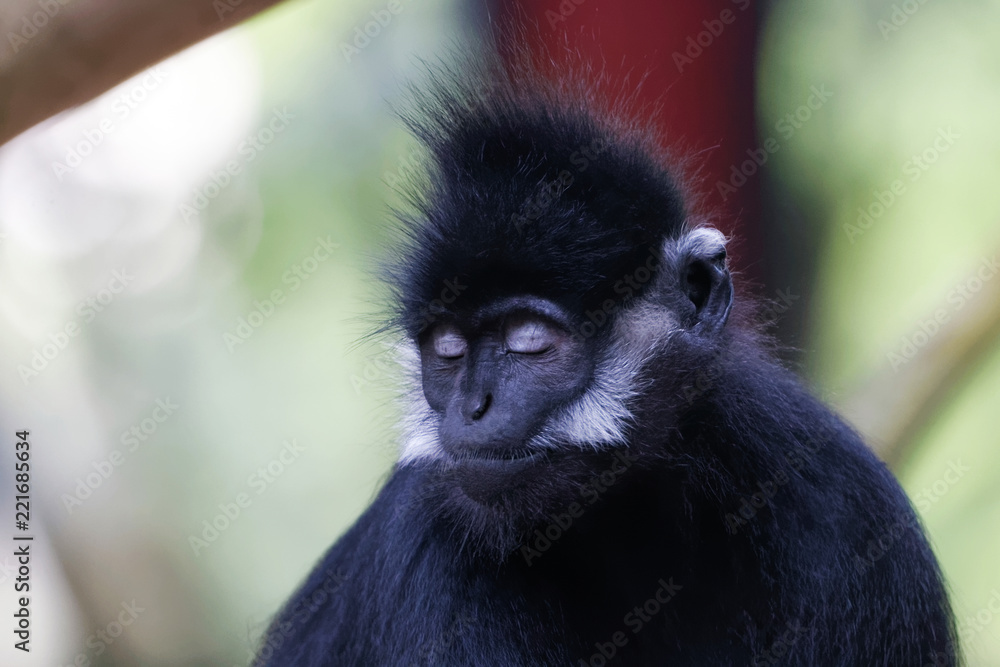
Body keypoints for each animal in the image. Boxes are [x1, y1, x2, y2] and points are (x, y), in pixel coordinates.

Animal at [254, 53, 956, 667]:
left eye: (529, 340)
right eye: (448, 351)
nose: (472, 408)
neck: (631, 518)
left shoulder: (841, 500)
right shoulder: (429, 535)